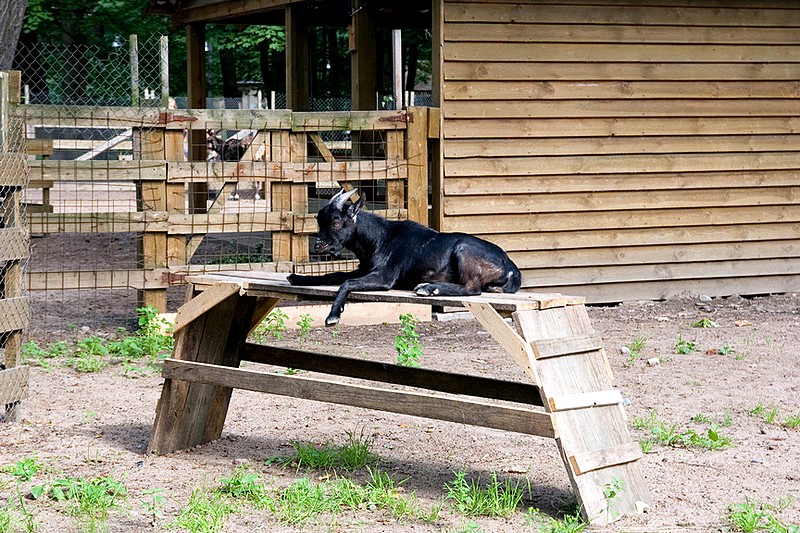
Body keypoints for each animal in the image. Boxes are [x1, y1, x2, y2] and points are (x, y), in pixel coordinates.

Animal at [290, 189, 524, 326]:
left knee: (472, 289)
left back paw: (429, 287)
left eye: (336, 222)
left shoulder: (384, 277)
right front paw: (296, 278)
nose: (319, 246)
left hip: (464, 250)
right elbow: (334, 275)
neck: (380, 238)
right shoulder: (364, 269)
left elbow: (346, 282)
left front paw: (333, 315)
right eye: (319, 222)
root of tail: (510, 266)